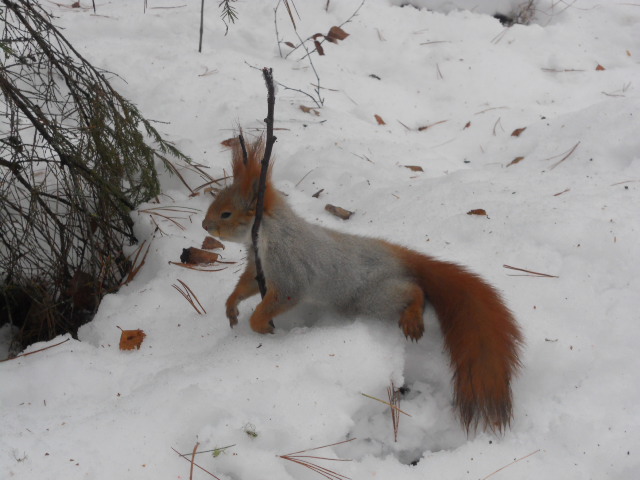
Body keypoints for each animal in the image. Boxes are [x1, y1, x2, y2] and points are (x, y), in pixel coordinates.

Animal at [202, 136, 523, 433]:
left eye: (226, 213)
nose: (205, 226)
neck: (268, 232)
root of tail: (400, 258)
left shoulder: (289, 266)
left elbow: (285, 295)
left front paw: (260, 324)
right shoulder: (258, 267)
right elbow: (245, 285)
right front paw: (232, 306)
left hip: (372, 297)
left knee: (414, 290)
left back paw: (412, 317)